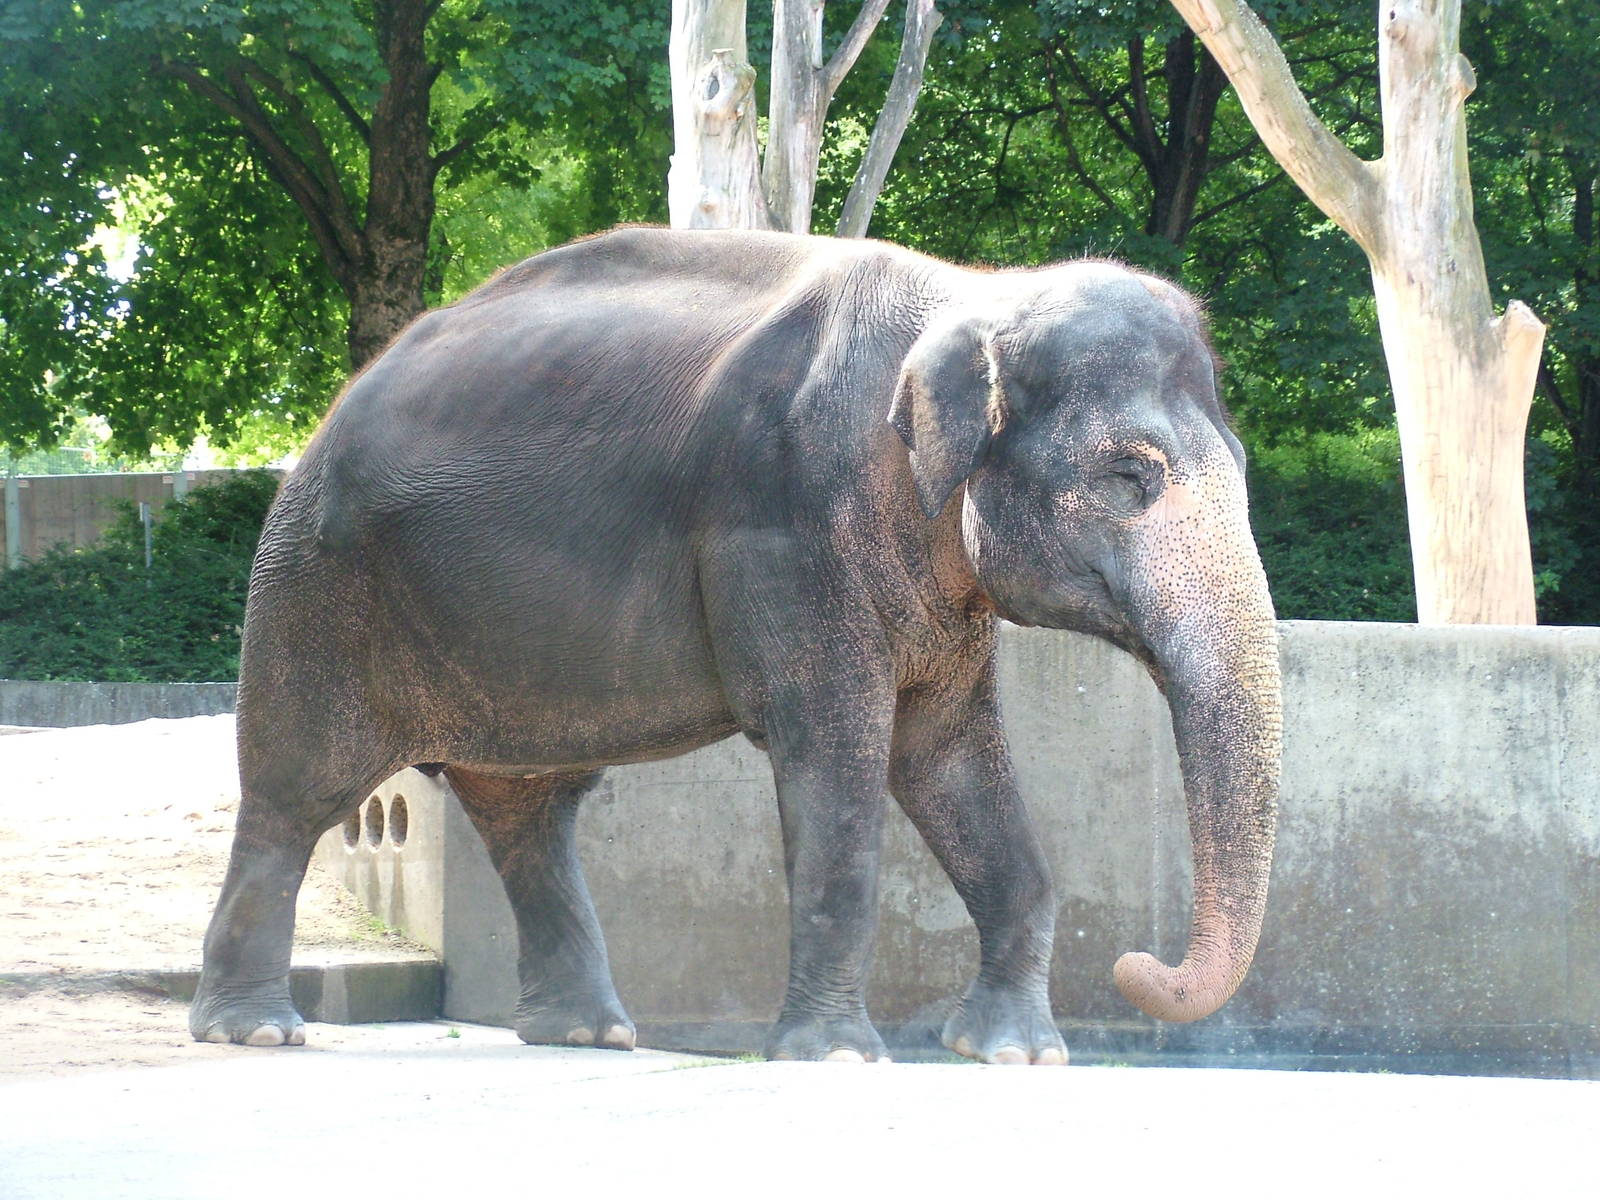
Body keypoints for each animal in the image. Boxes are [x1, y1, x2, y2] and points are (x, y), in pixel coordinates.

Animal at [190, 226, 1282, 1064]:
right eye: (1131, 476)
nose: (1138, 966)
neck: (974, 290)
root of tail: (327, 414)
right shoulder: (787, 521)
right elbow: (837, 755)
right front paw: (837, 1058)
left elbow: (947, 761)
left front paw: (1016, 1054)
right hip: (317, 591)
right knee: (298, 790)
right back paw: (256, 1034)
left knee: (529, 811)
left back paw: (588, 1037)